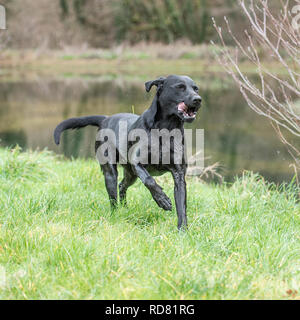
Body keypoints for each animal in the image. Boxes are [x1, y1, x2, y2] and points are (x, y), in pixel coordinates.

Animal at [55, 74, 203, 230]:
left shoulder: (178, 174)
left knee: (122, 186)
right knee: (113, 196)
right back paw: (115, 215)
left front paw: (183, 230)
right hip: (111, 172)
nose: (198, 99)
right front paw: (162, 200)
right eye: (180, 87)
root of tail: (105, 118)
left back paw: (125, 209)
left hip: (131, 174)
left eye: (196, 88)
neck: (166, 129)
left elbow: (181, 206)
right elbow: (150, 181)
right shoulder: (137, 163)